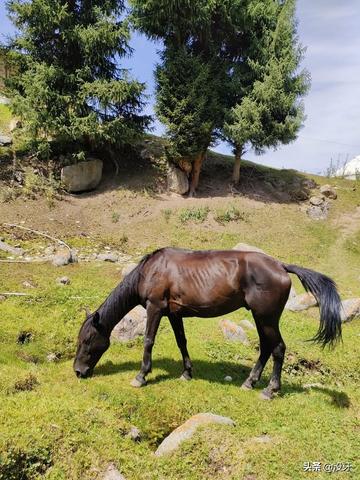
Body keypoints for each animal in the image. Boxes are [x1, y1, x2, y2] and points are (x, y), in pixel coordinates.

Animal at [74, 246, 344, 400]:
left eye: (87, 341)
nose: (78, 371)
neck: (150, 270)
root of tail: (280, 266)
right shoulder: (174, 314)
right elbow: (181, 341)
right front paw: (187, 372)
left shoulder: (155, 308)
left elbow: (149, 341)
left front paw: (141, 376)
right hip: (261, 318)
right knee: (267, 348)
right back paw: (250, 382)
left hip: (266, 318)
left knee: (277, 348)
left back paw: (270, 390)